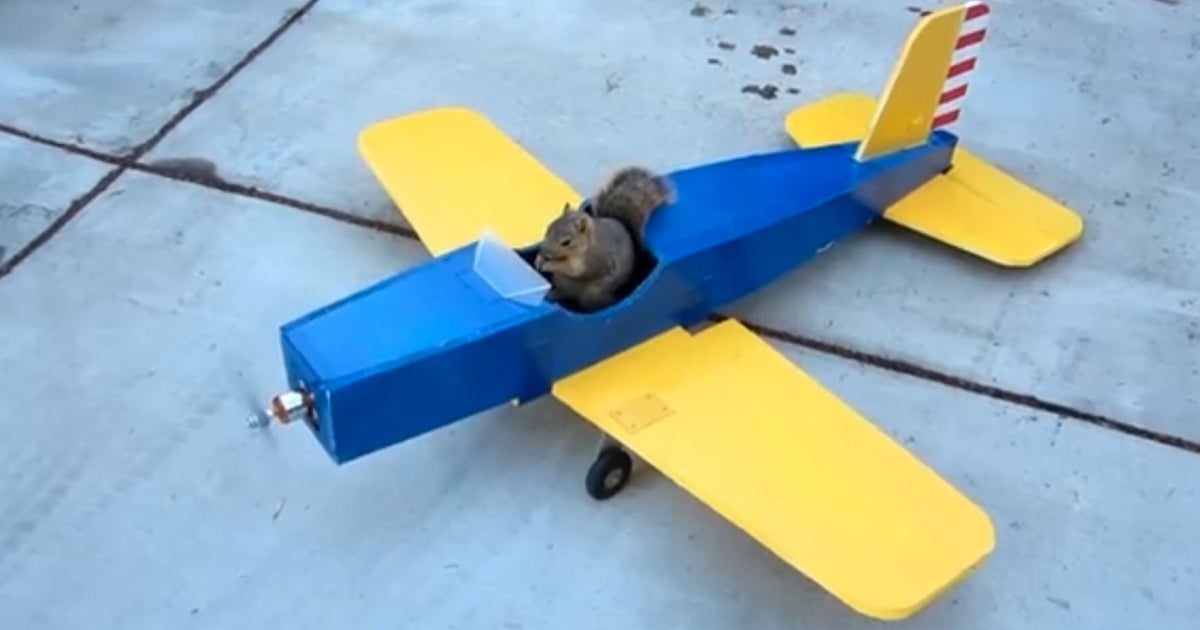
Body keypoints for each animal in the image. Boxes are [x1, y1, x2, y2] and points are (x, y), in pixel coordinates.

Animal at [534, 166, 674, 312]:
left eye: (566, 242)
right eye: (549, 227)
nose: (543, 251)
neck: (588, 244)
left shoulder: (591, 261)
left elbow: (572, 270)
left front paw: (550, 264)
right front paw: (539, 259)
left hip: (593, 294)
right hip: (560, 282)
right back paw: (552, 294)